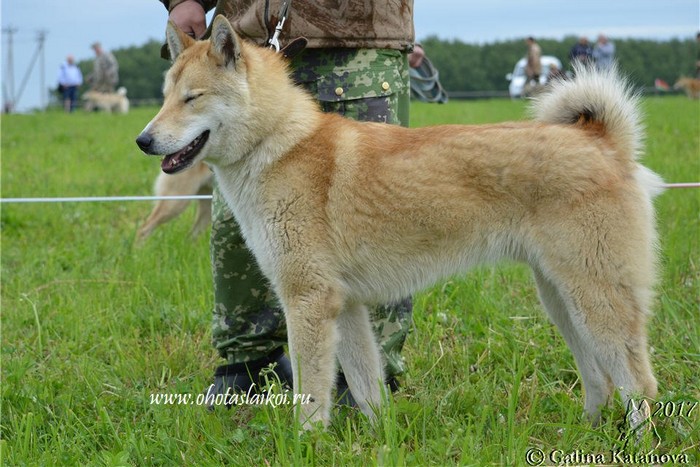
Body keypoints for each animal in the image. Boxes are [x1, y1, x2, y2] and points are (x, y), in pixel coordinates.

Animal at [137, 15, 663, 428]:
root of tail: (601, 140)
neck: (278, 143)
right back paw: (585, 431)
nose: (143, 140)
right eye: (164, 97)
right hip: (561, 299)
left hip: (596, 298)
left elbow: (311, 392)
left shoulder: (308, 299)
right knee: (601, 381)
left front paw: (306, 442)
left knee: (639, 384)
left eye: (192, 98)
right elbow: (366, 385)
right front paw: (377, 439)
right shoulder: (345, 305)